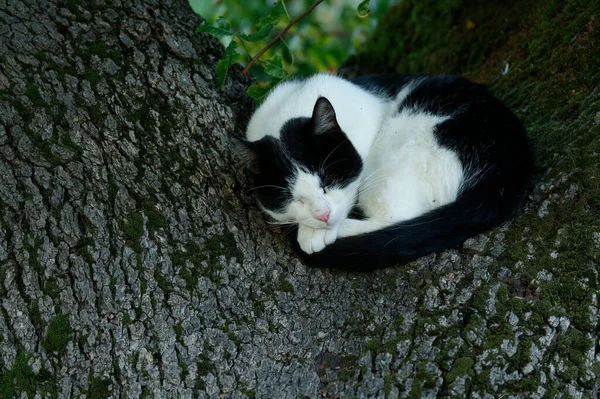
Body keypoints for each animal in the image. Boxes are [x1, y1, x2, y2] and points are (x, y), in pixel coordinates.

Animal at [231, 72, 536, 272]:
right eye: (293, 198)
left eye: (328, 179)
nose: (323, 215)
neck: (286, 111)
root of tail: (511, 163)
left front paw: (312, 233)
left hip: (405, 138)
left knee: (396, 217)